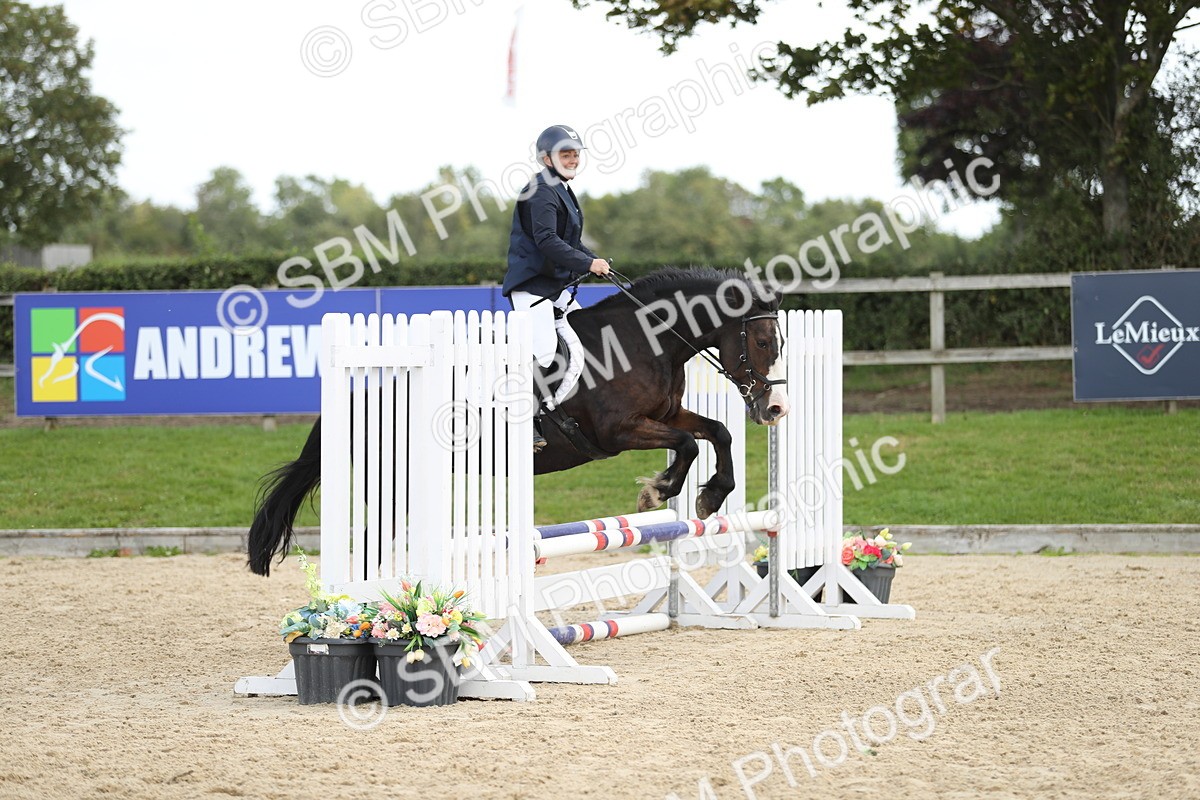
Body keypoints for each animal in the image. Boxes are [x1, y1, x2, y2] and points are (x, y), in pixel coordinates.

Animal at [247, 267, 789, 576]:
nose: (775, 410)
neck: (645, 338)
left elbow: (715, 433)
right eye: (763, 342)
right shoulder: (618, 431)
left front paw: (710, 495)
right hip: (391, 486)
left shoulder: (666, 414)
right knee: (371, 547)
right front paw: (659, 491)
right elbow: (688, 445)